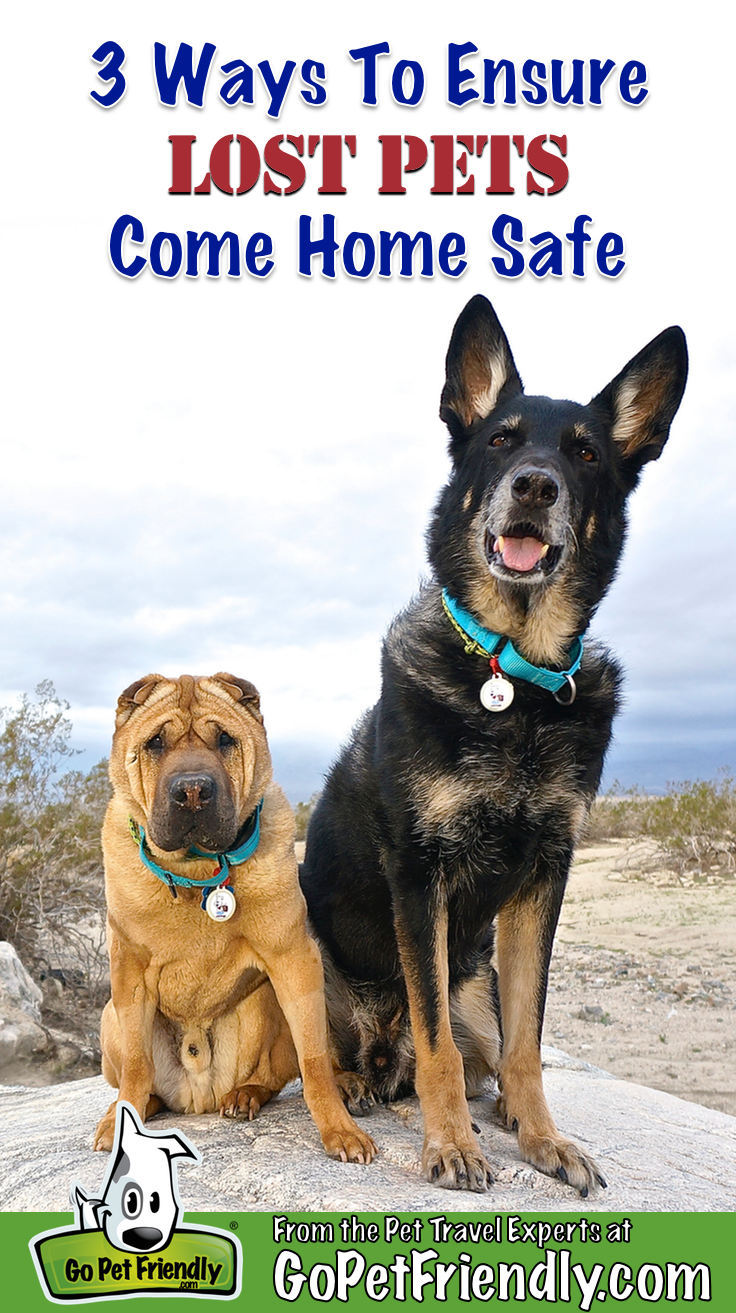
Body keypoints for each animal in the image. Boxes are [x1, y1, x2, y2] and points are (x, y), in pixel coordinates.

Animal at [93, 672, 372, 1165]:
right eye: (155, 742)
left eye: (224, 739)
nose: (192, 791)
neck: (197, 874)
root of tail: (197, 1097)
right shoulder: (129, 974)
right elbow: (137, 1066)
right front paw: (120, 1119)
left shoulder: (295, 960)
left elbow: (314, 1060)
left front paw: (340, 1128)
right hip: (110, 1016)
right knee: (144, 1081)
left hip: (271, 999)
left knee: (277, 1076)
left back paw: (248, 1095)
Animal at [296, 295, 682, 1192]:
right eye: (502, 439)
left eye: (585, 452)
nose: (535, 485)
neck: (513, 678)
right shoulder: (420, 874)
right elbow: (435, 1042)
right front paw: (449, 1145)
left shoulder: (546, 873)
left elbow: (527, 1041)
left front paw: (541, 1137)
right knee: (368, 1053)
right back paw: (364, 1084)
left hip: (481, 973)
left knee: (483, 1054)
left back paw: (496, 1105)